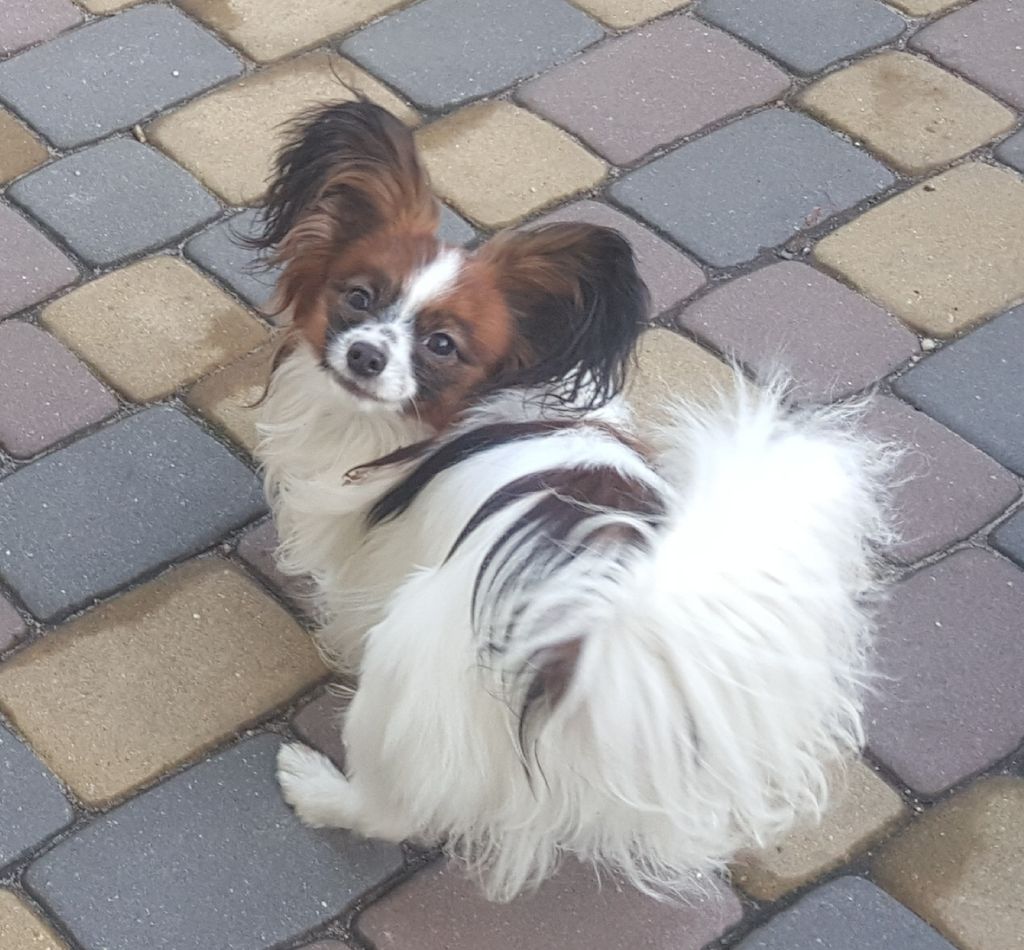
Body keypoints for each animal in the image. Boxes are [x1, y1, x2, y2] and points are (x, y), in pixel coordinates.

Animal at [253, 101, 893, 901]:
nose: (366, 355)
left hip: (412, 671)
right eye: (358, 297)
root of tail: (593, 637)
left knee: (392, 808)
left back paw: (316, 787)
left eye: (441, 345)